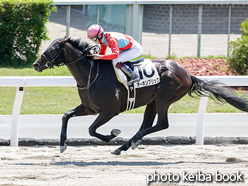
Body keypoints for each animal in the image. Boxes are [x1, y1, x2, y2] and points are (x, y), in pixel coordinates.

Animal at [33, 37, 248, 155]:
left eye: (53, 48)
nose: (36, 64)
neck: (91, 74)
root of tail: (187, 73)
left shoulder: (110, 110)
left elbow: (92, 130)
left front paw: (113, 134)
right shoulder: (89, 108)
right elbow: (66, 116)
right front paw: (62, 146)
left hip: (164, 98)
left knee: (162, 124)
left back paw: (126, 144)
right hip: (152, 101)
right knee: (147, 124)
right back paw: (126, 145)